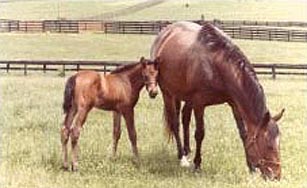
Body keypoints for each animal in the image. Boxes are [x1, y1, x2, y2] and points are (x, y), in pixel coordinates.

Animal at [150, 21, 286, 180]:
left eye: (279, 143)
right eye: (268, 145)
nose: (276, 176)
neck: (215, 65)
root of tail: (164, 33)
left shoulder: (234, 103)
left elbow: (243, 134)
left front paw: (251, 167)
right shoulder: (199, 104)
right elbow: (200, 133)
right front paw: (197, 165)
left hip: (185, 97)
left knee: (184, 118)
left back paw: (187, 150)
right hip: (168, 93)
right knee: (175, 123)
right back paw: (182, 157)